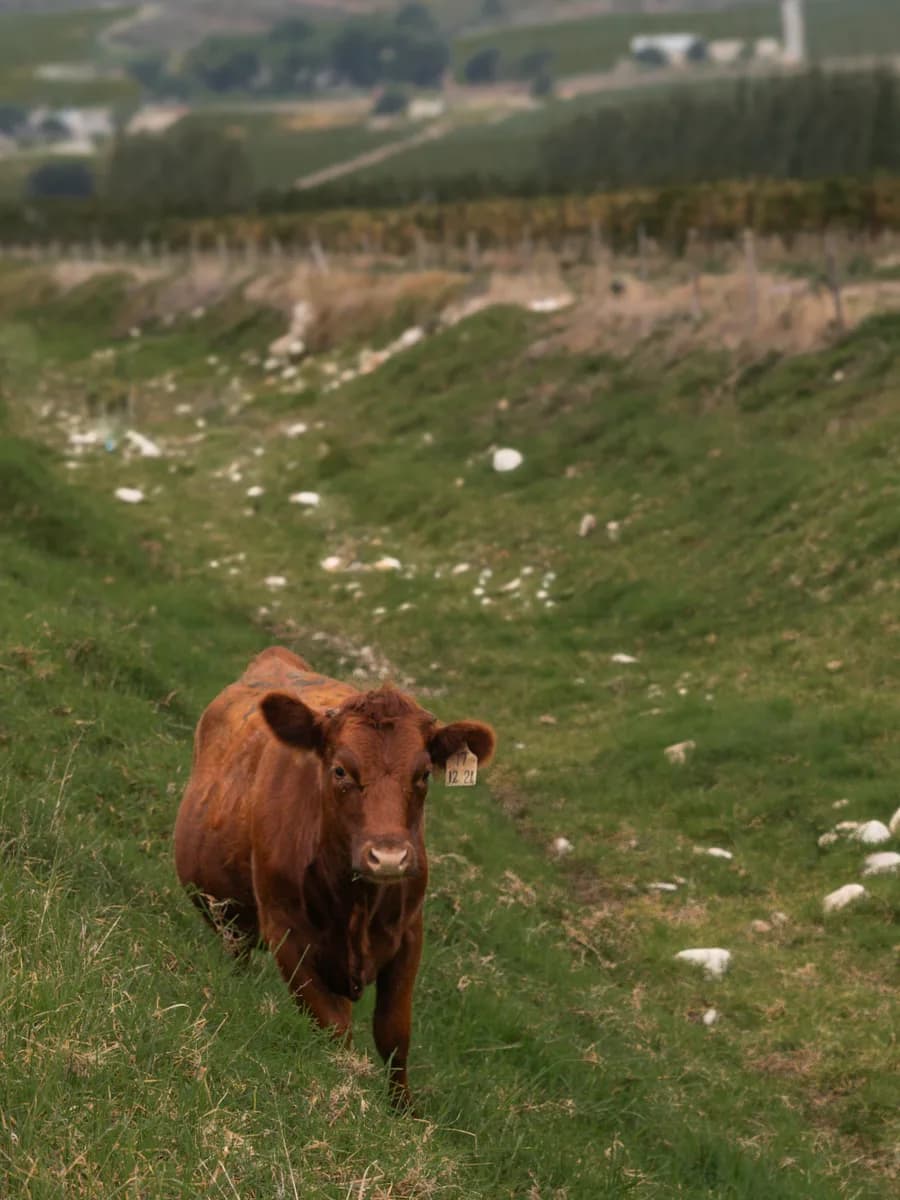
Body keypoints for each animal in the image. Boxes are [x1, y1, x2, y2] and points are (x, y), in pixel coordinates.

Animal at [174, 646, 496, 1107]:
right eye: (341, 771)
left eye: (423, 775)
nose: (389, 857)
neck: (357, 903)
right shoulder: (287, 935)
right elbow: (335, 1028)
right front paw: (352, 1089)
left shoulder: (409, 934)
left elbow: (394, 1034)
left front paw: (404, 1112)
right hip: (231, 917)